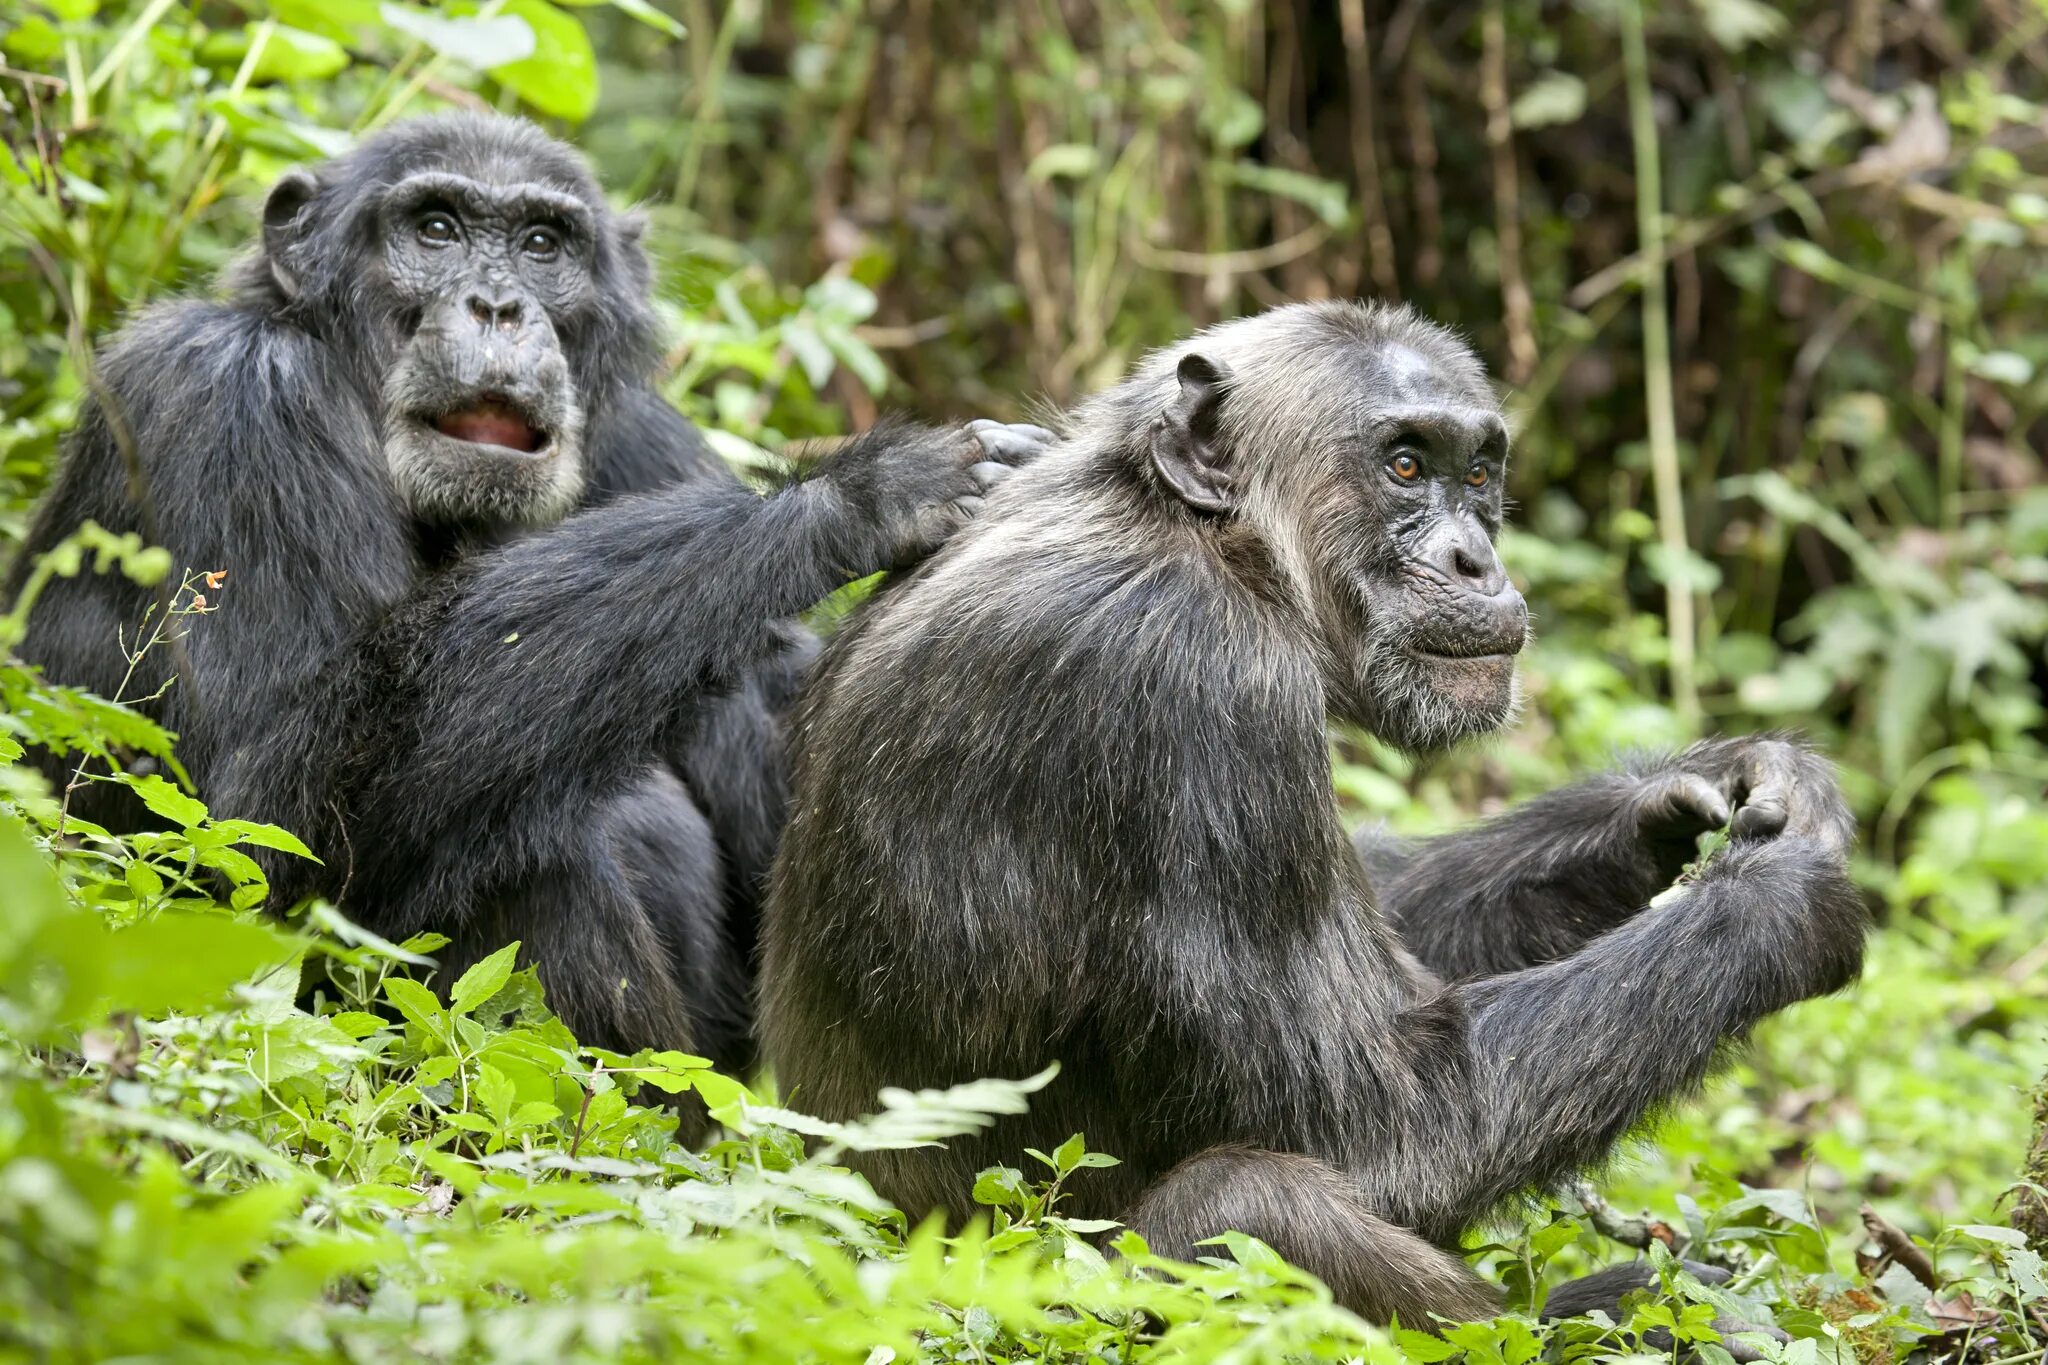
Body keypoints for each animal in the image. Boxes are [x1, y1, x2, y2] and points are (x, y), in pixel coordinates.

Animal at [12, 112, 1040, 1064]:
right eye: (435, 229)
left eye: (544, 245)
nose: (500, 305)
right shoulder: (228, 399)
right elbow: (256, 813)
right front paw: (863, 493)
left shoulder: (642, 438)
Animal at [761, 300, 1867, 1326]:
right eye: (1406, 467)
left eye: (1477, 475)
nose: (1475, 559)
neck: (1213, 541)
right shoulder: (1197, 689)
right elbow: (1376, 1126)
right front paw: (1784, 898)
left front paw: (1682, 795)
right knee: (1244, 1200)